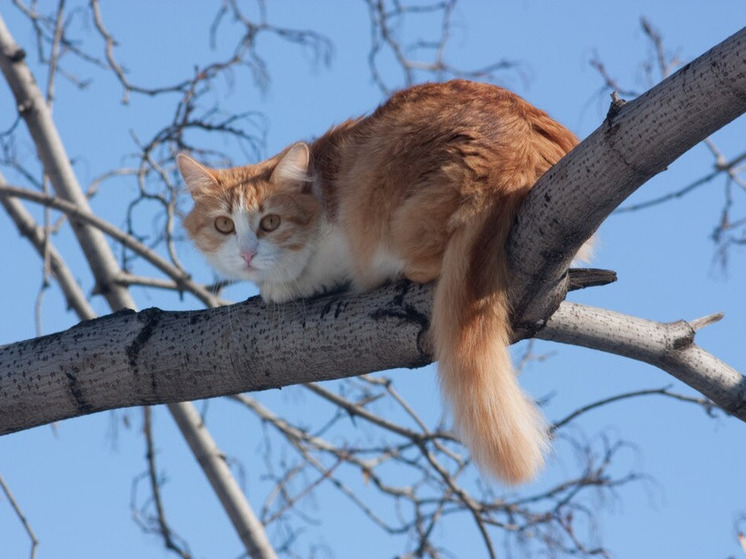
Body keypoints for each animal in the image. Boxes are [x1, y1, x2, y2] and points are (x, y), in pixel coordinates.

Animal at [177, 80, 580, 486]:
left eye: (271, 223)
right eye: (224, 225)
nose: (246, 253)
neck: (320, 189)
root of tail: (511, 150)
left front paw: (289, 285)